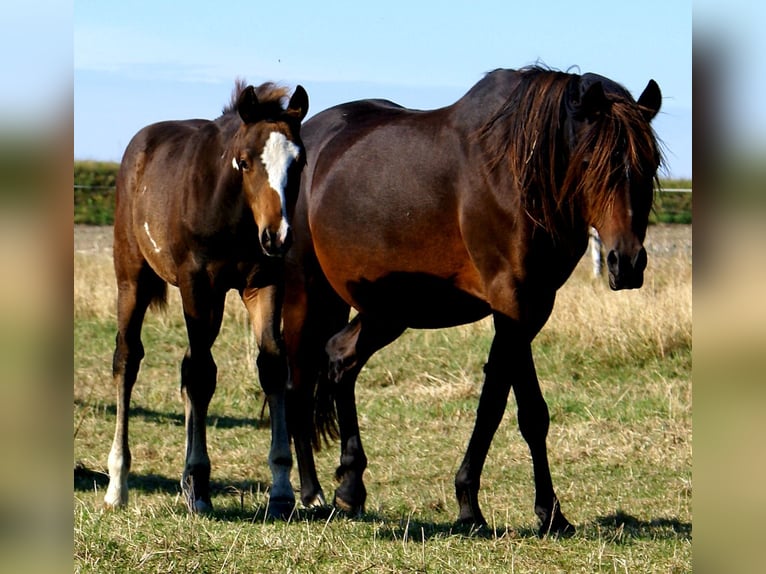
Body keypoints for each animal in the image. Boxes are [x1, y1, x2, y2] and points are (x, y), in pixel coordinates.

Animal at [105, 80, 308, 517]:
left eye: (298, 163)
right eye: (244, 162)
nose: (277, 236)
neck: (233, 214)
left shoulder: (263, 283)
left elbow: (270, 365)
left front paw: (282, 491)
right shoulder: (196, 284)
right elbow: (201, 375)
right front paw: (199, 485)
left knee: (185, 364)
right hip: (133, 278)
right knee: (128, 358)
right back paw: (118, 485)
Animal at [282, 66, 662, 536]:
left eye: (650, 164)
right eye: (592, 163)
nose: (625, 263)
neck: (520, 172)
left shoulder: (534, 307)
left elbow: (505, 406)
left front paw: (526, 510)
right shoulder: (512, 303)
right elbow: (520, 410)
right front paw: (513, 509)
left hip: (389, 310)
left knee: (339, 359)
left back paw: (350, 488)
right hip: (306, 292)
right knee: (297, 386)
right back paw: (311, 493)